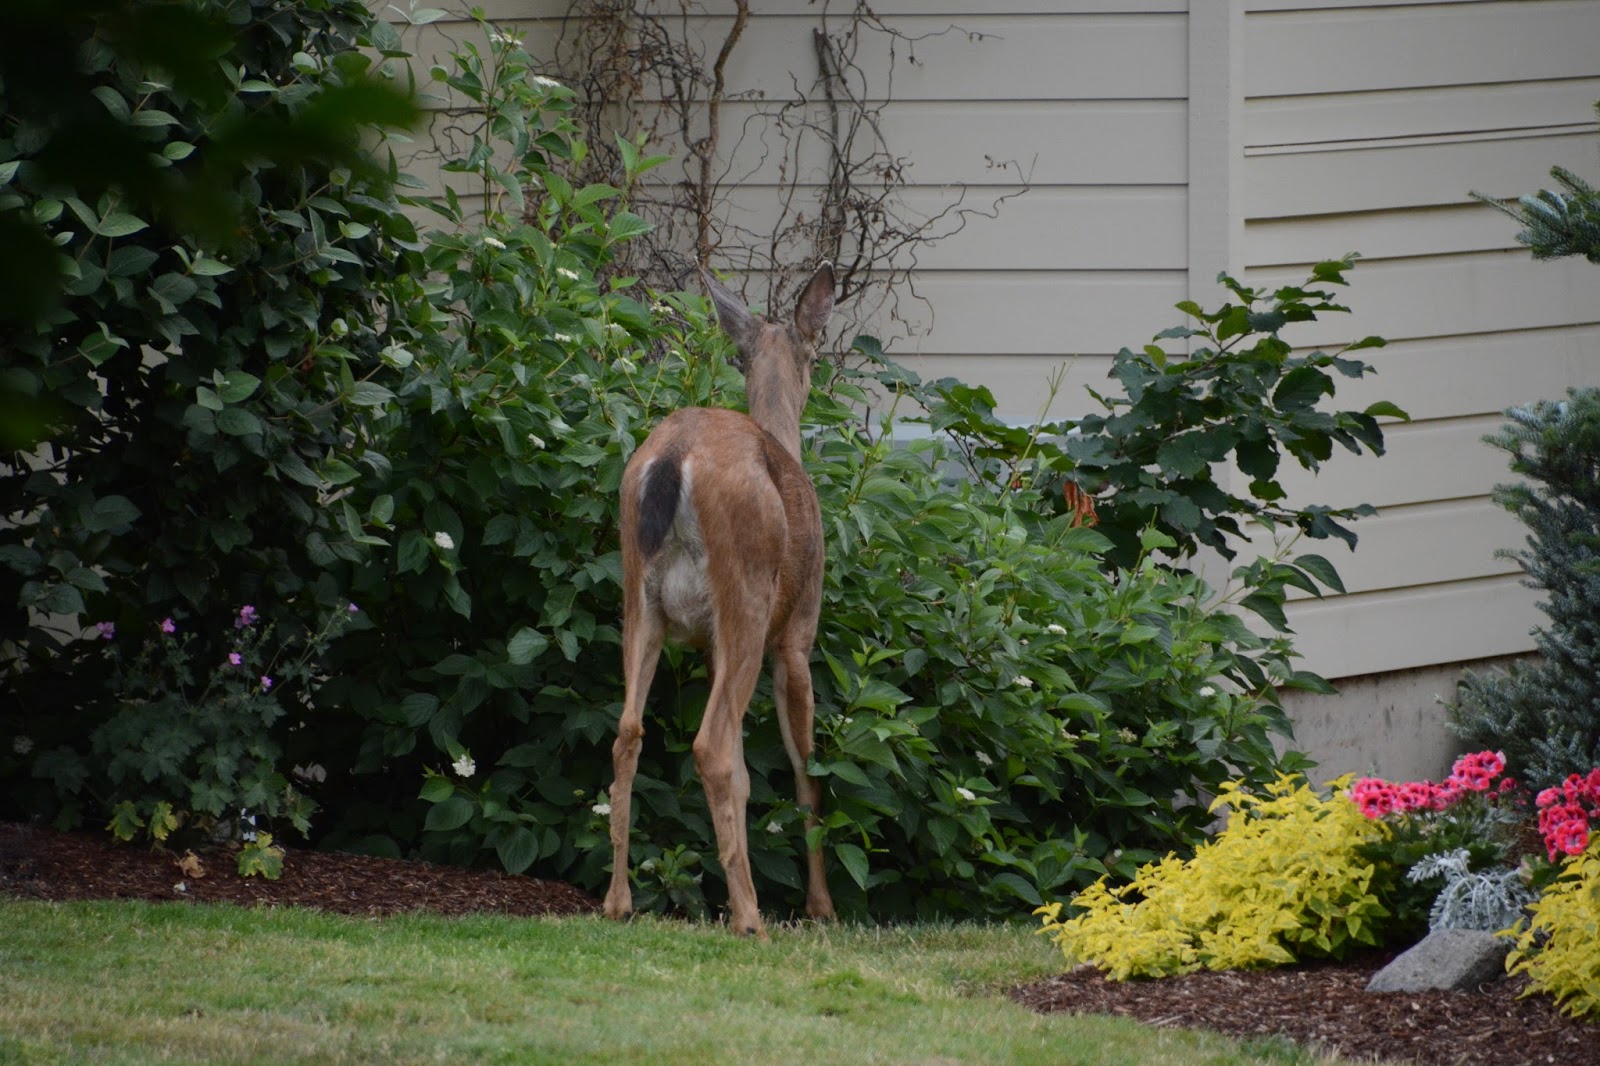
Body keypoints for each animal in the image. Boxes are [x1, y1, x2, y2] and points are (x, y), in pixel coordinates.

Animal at [604, 262, 838, 938]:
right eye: (817, 353)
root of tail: (672, 458)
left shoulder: (708, 646)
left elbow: (744, 779)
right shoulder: (796, 634)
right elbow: (804, 773)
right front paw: (820, 907)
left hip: (641, 599)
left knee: (628, 731)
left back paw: (619, 902)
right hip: (748, 596)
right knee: (710, 746)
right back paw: (749, 918)